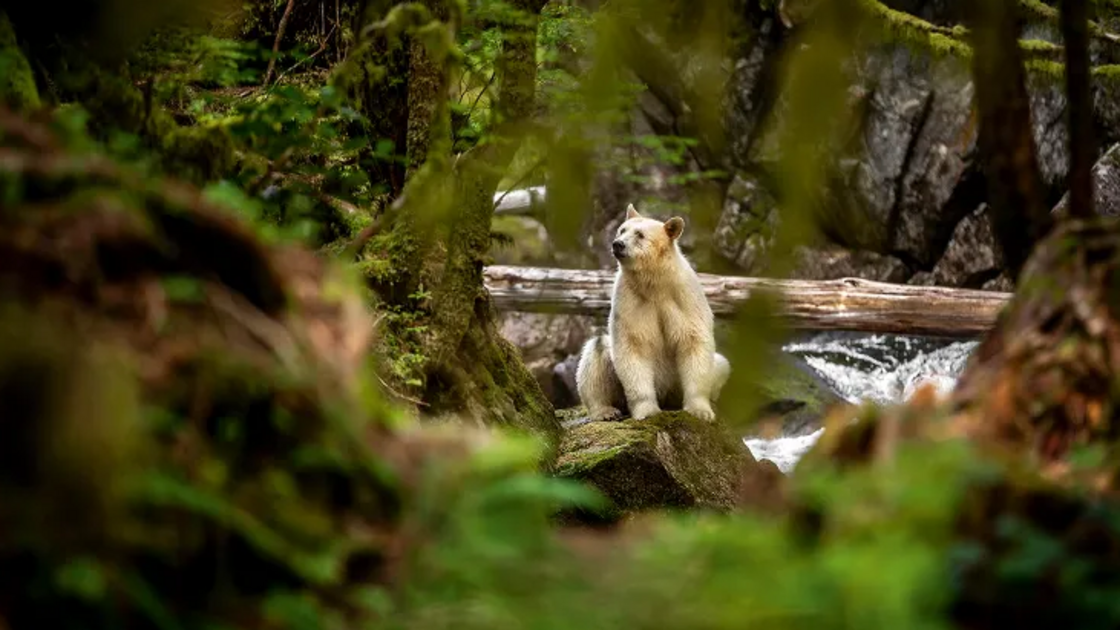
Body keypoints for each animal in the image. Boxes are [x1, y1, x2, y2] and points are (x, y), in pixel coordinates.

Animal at [576, 204, 730, 422]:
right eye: (622, 230)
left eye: (639, 234)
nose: (618, 244)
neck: (655, 284)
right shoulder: (630, 300)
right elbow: (633, 344)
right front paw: (647, 411)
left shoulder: (684, 297)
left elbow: (693, 341)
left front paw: (700, 411)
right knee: (595, 354)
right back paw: (605, 411)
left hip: (681, 382)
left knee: (721, 364)